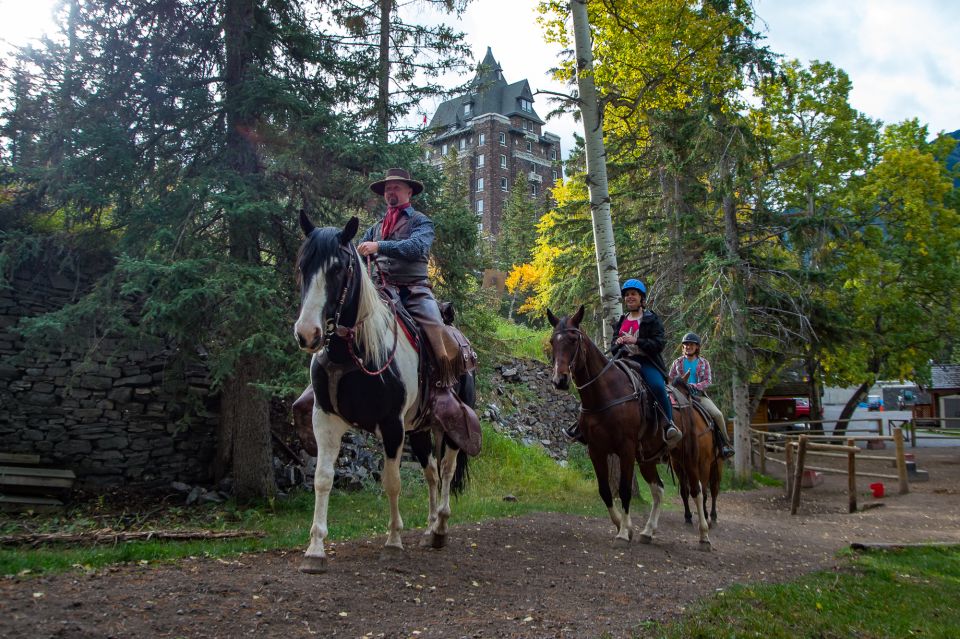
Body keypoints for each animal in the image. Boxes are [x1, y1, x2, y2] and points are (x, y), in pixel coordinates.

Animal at [294, 214, 470, 576]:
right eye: (303, 265)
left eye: (338, 269)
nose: (307, 334)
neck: (354, 352)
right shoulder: (325, 420)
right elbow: (322, 478)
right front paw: (315, 550)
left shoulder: (392, 426)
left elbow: (392, 482)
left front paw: (393, 542)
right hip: (419, 430)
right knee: (432, 473)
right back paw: (429, 529)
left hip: (448, 427)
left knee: (446, 470)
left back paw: (441, 528)